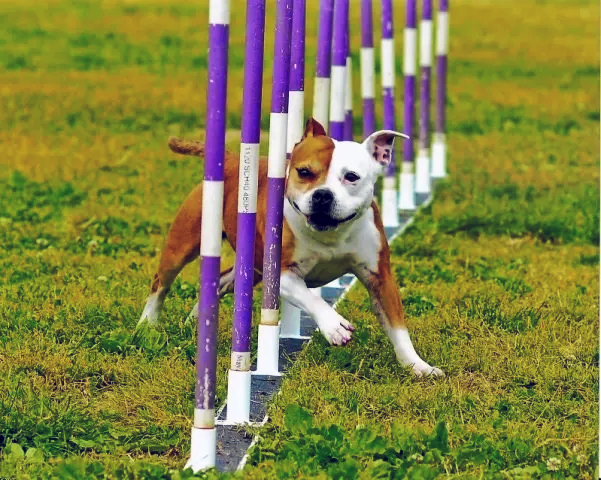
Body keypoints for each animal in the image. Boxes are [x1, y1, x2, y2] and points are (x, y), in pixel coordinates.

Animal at [138, 118, 442, 376]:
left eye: (352, 177)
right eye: (304, 172)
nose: (322, 195)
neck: (331, 235)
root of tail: (233, 160)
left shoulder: (380, 278)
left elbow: (398, 328)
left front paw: (418, 366)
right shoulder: (282, 274)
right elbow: (313, 299)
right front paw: (333, 326)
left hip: (248, 269)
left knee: (220, 282)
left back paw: (196, 319)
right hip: (183, 245)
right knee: (160, 284)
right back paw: (147, 324)